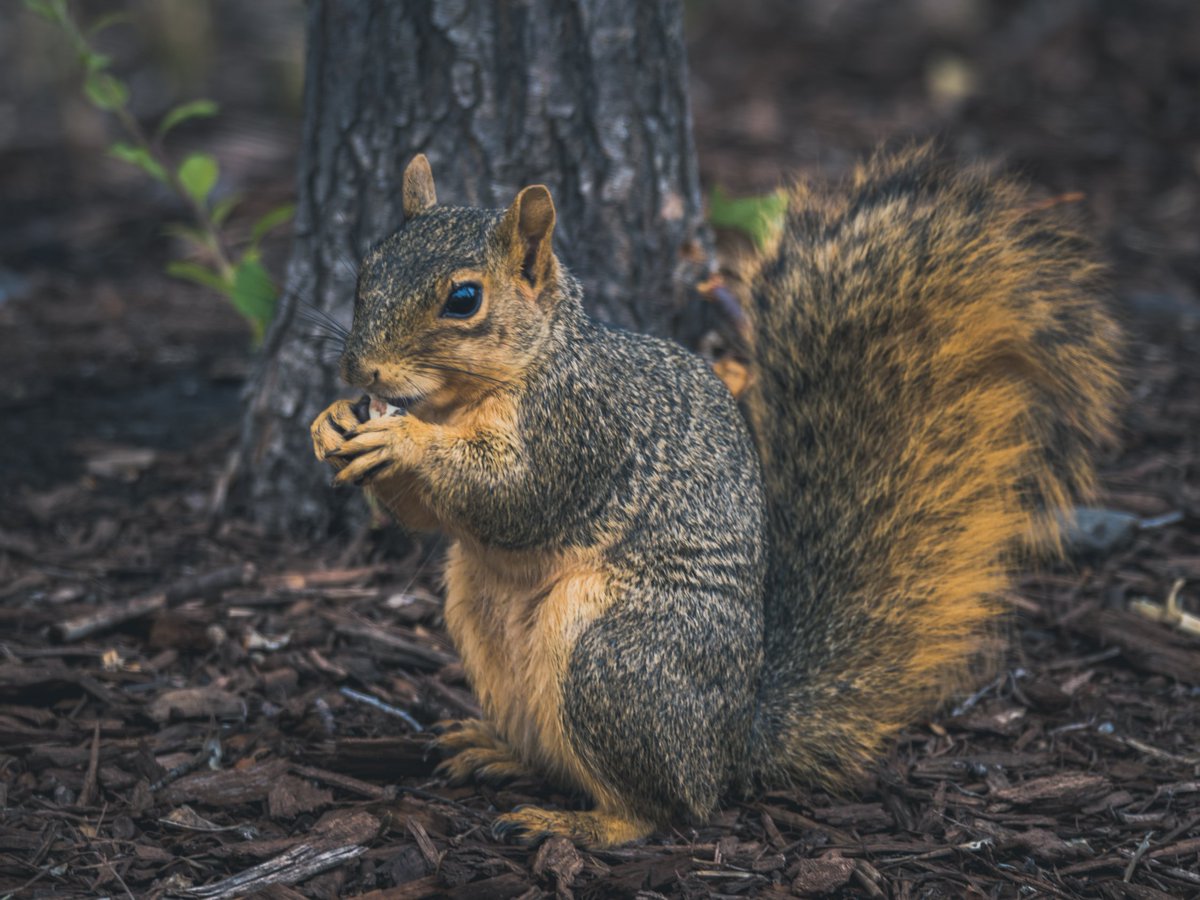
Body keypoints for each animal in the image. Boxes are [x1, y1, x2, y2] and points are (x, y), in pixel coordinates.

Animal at [310, 143, 1122, 848]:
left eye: (464, 299)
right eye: (365, 269)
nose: (362, 370)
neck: (488, 386)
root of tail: (733, 741)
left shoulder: (582, 428)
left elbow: (514, 497)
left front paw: (403, 440)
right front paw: (334, 422)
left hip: (618, 665)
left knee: (665, 808)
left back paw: (582, 825)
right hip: (485, 628)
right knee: (563, 759)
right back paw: (502, 754)